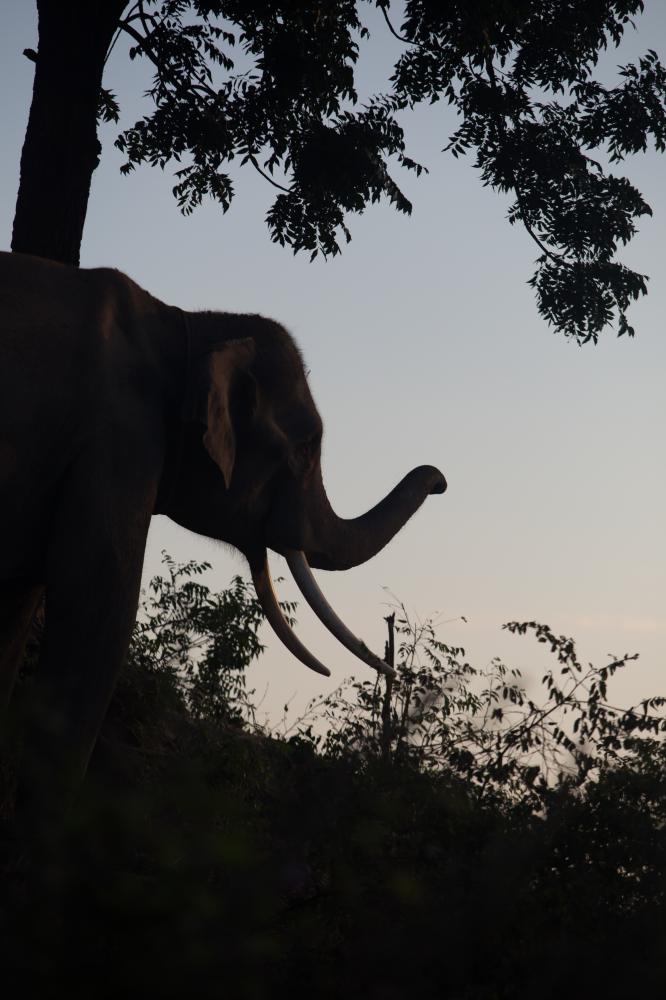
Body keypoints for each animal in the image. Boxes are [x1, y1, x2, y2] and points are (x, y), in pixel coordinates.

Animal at [0, 250, 445, 801]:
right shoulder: (119, 442)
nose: (442, 480)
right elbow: (98, 607)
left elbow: (16, 606)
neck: (183, 323)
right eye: (304, 450)